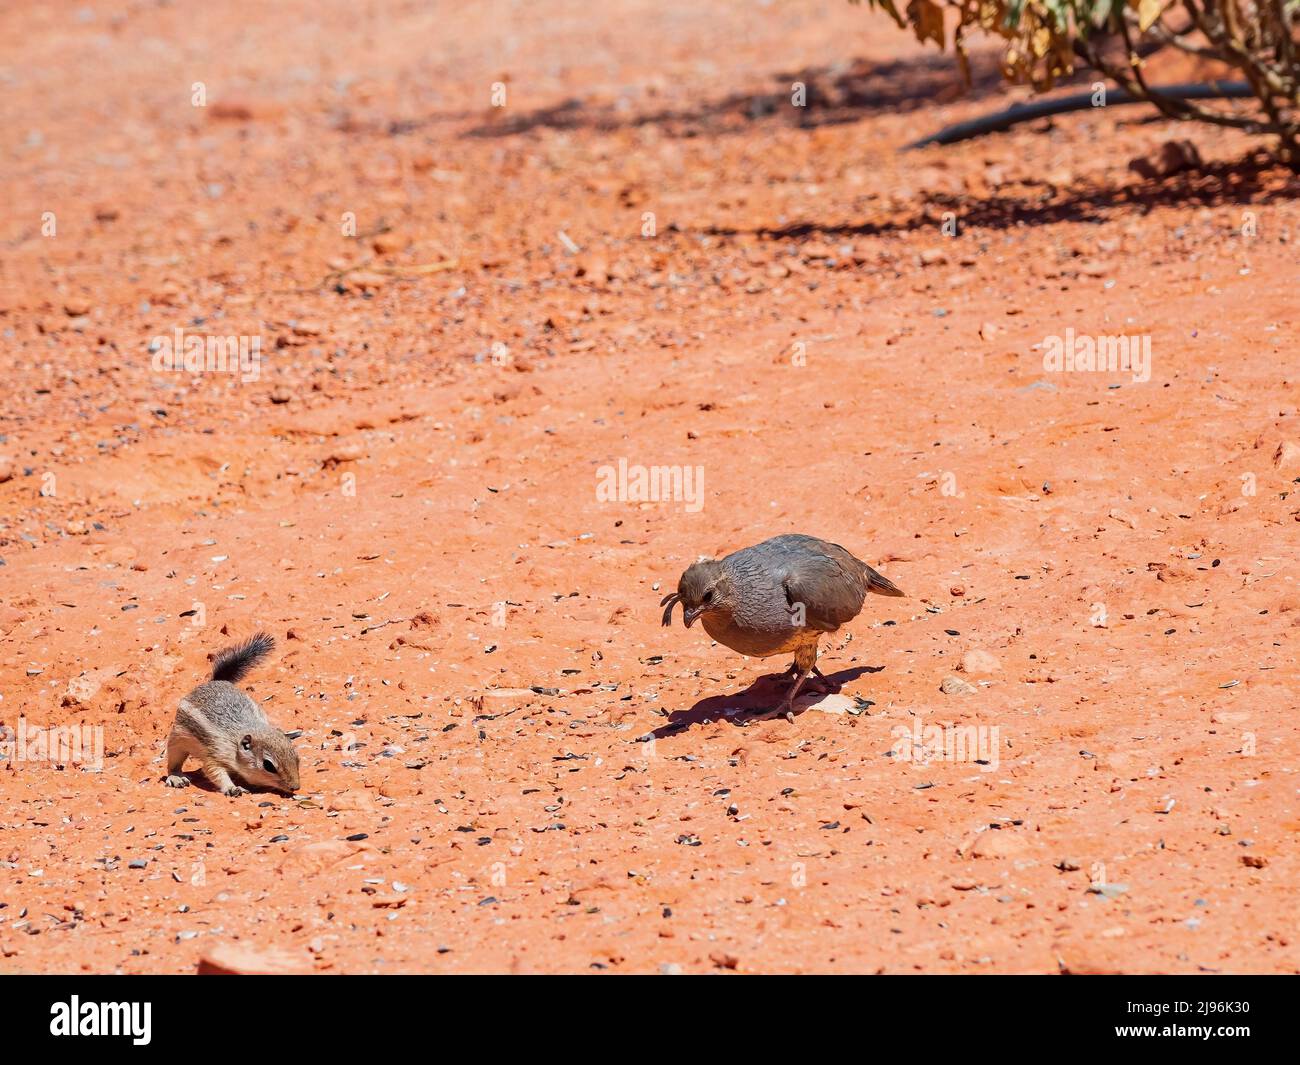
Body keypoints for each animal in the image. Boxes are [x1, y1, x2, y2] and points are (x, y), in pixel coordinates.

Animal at [164, 632, 300, 797]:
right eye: (268, 765)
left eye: (297, 757)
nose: (295, 787)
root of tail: (214, 681)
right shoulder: (216, 752)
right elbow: (214, 771)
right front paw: (232, 788)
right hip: (177, 740)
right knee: (173, 763)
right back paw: (175, 777)